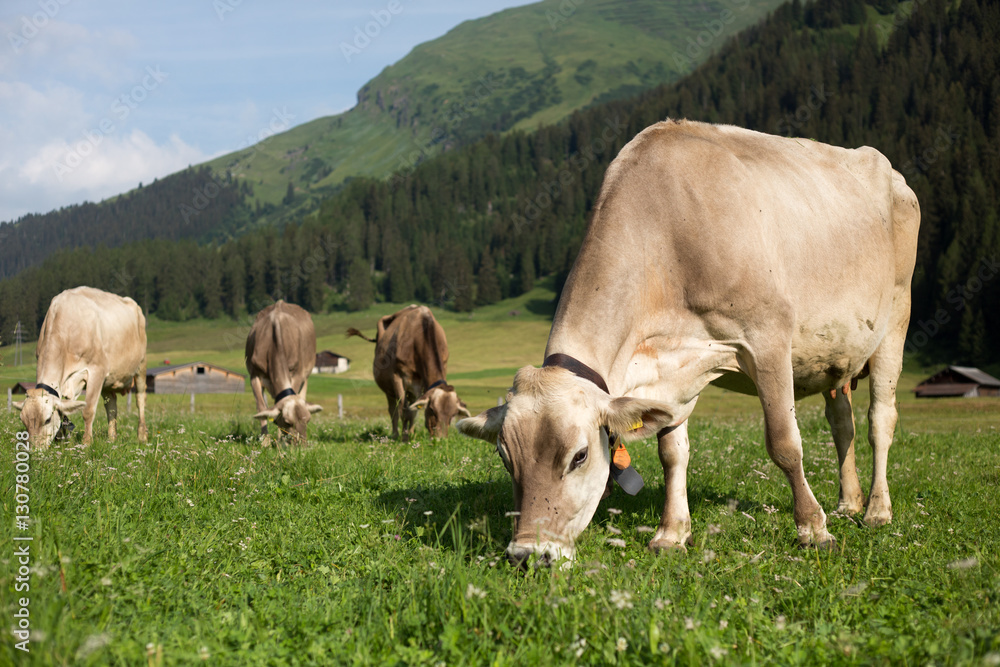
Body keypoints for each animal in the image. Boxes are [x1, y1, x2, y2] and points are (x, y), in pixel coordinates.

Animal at [14, 286, 148, 448]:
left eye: (47, 419)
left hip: (141, 365)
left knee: (140, 399)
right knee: (111, 406)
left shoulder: (97, 370)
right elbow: (65, 410)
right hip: (109, 379)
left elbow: (88, 410)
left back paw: (142, 436)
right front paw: (60, 439)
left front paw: (87, 442)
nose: (34, 450)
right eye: (23, 421)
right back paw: (112, 439)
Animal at [245, 301, 323, 443]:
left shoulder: (297, 374)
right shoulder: (254, 375)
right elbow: (262, 408)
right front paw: (265, 441)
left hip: (306, 375)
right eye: (287, 422)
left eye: (308, 420)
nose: (302, 445)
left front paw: (280, 439)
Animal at [347, 305, 470, 441]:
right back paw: (395, 434)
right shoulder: (397, 376)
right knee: (393, 410)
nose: (440, 439)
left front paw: (410, 435)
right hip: (388, 388)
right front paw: (404, 438)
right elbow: (405, 411)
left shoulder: (420, 382)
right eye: (432, 410)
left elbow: (413, 411)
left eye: (453, 414)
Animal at [458, 120, 920, 567]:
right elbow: (672, 453)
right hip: (835, 357)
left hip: (896, 317)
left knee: (881, 419)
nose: (527, 555)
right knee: (842, 422)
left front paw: (814, 529)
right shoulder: (672, 371)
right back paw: (848, 502)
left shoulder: (767, 338)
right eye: (505, 458)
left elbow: (785, 443)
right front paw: (672, 533)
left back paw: (876, 509)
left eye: (579, 456)